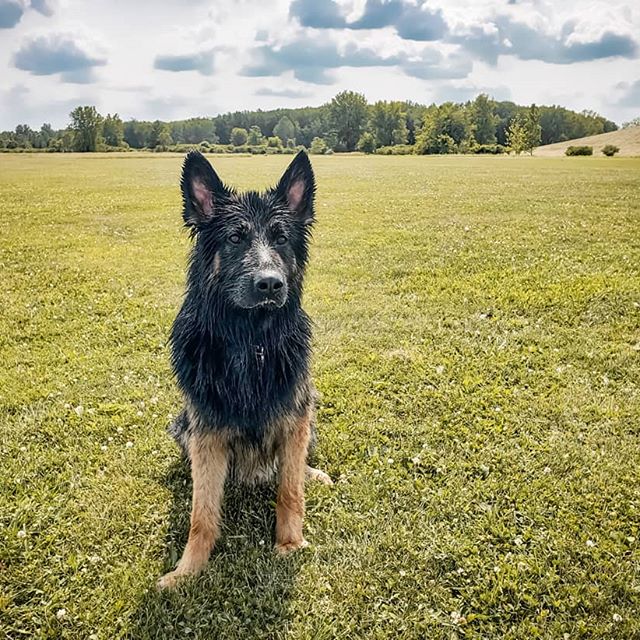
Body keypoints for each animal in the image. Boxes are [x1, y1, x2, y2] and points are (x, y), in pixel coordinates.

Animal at [158, 150, 332, 592]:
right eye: (235, 238)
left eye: (281, 238)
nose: (270, 284)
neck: (250, 342)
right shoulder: (206, 430)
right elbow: (201, 515)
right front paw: (189, 569)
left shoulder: (294, 419)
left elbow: (290, 491)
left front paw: (289, 544)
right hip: (182, 425)